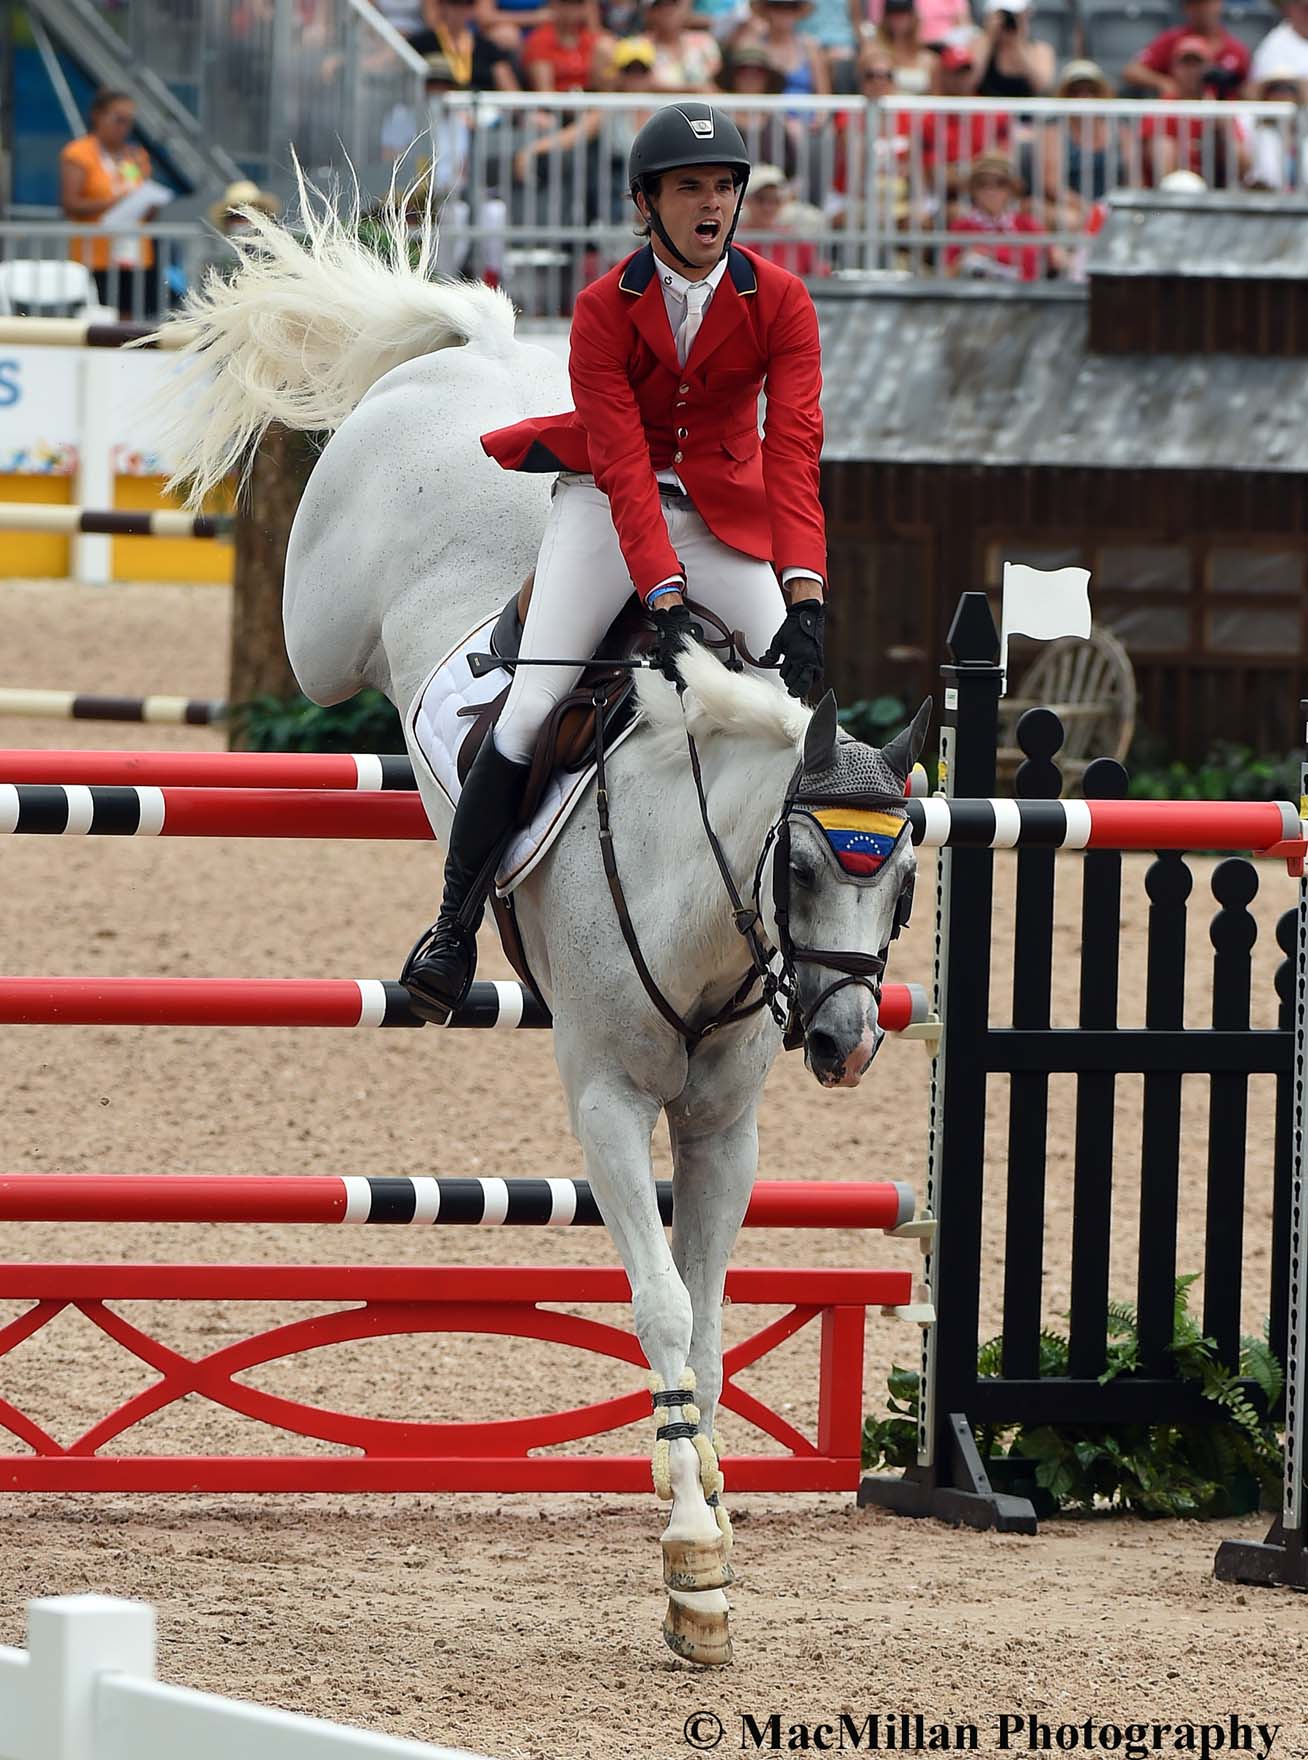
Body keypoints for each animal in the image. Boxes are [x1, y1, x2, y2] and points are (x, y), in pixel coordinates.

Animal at [158, 182, 929, 1661]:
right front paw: (693, 1564)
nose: (850, 1041)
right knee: (326, 643)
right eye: (804, 866)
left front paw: (709, 1497)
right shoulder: (609, 1104)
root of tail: (475, 365)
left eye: (903, 877)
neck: (707, 907)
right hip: (326, 622)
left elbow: (709, 1313)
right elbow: (660, 1300)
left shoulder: (725, 1125)